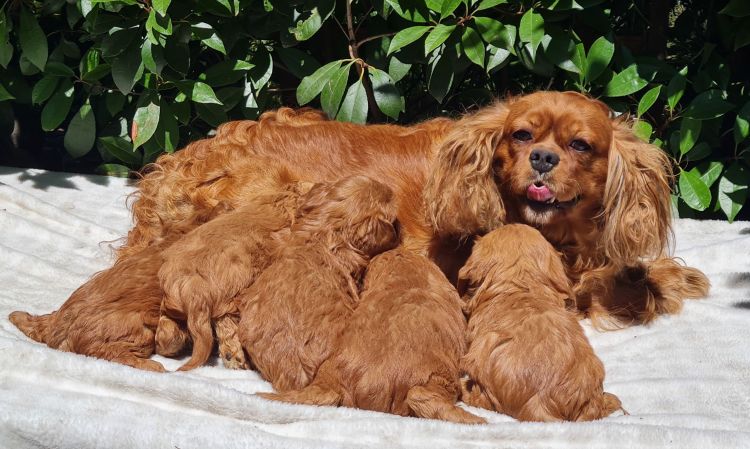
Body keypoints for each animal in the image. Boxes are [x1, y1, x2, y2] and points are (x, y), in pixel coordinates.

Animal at [123, 91, 712, 328]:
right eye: (521, 136)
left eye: (581, 146)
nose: (542, 159)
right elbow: (608, 286)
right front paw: (650, 286)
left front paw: (664, 275)